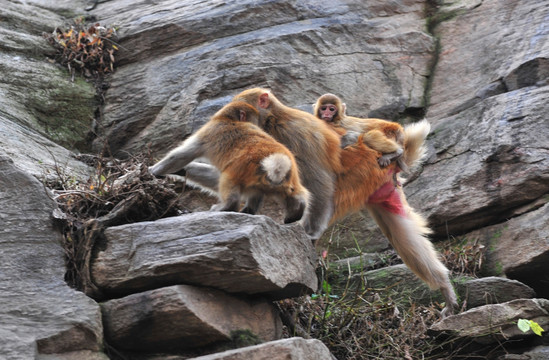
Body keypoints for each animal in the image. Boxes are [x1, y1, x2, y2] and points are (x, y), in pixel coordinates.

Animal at [150, 100, 310, 224]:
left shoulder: (209, 131)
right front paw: (179, 170)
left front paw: (153, 170)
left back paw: (227, 206)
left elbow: (180, 155)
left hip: (243, 170)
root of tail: (277, 164)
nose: (260, 125)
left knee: (228, 180)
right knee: (290, 194)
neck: (228, 118)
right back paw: (294, 210)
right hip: (280, 181)